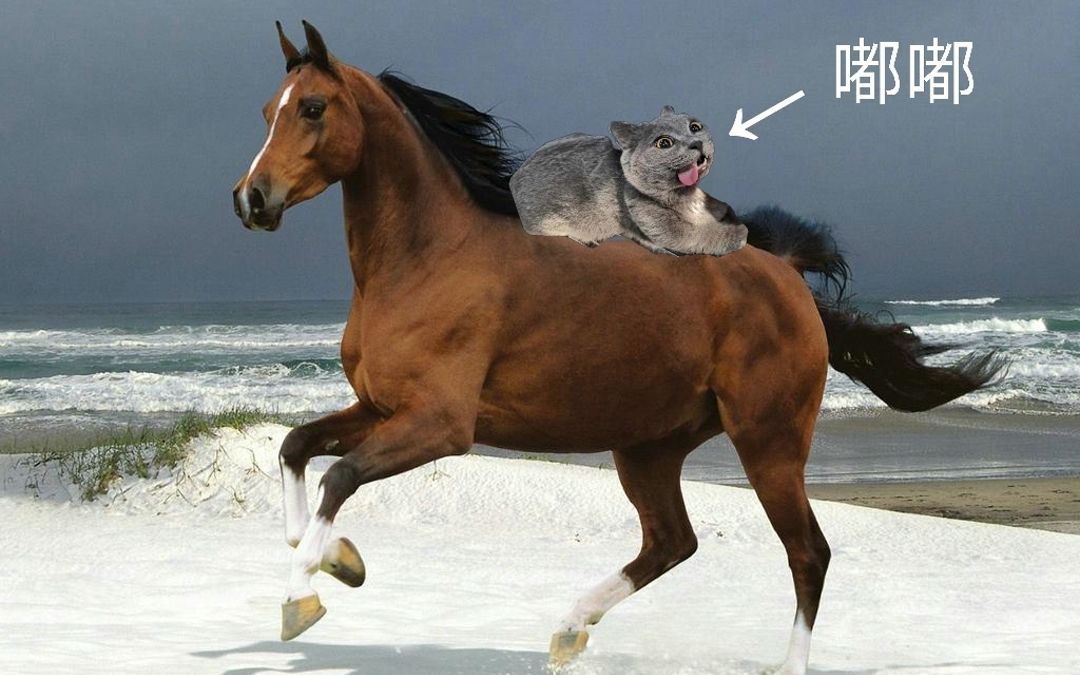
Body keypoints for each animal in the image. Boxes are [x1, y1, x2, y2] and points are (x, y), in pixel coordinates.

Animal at [231, 21, 1002, 673]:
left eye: (314, 108)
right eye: (268, 109)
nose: (251, 199)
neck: (426, 259)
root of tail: (785, 274)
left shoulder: (440, 425)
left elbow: (339, 476)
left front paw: (303, 597)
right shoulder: (380, 407)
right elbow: (296, 448)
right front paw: (337, 560)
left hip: (769, 440)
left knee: (807, 552)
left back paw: (781, 663)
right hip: (650, 447)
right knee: (672, 541)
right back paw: (569, 628)